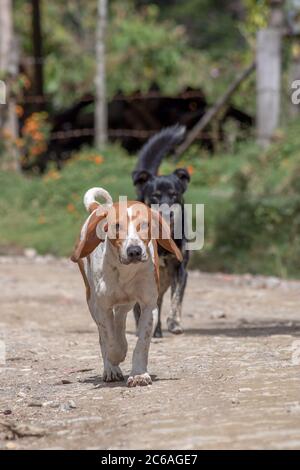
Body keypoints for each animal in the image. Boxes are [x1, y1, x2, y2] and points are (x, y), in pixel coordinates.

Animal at [71, 186, 182, 386]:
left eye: (145, 225)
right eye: (116, 226)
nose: (134, 251)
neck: (125, 271)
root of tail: (98, 208)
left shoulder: (149, 306)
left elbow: (141, 343)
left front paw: (138, 374)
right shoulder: (103, 307)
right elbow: (109, 341)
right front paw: (116, 358)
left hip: (128, 302)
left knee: (120, 319)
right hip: (92, 301)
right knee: (104, 336)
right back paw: (111, 368)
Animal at [133, 126, 191, 338]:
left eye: (174, 194)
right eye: (155, 196)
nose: (168, 213)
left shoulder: (181, 270)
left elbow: (177, 299)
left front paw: (174, 323)